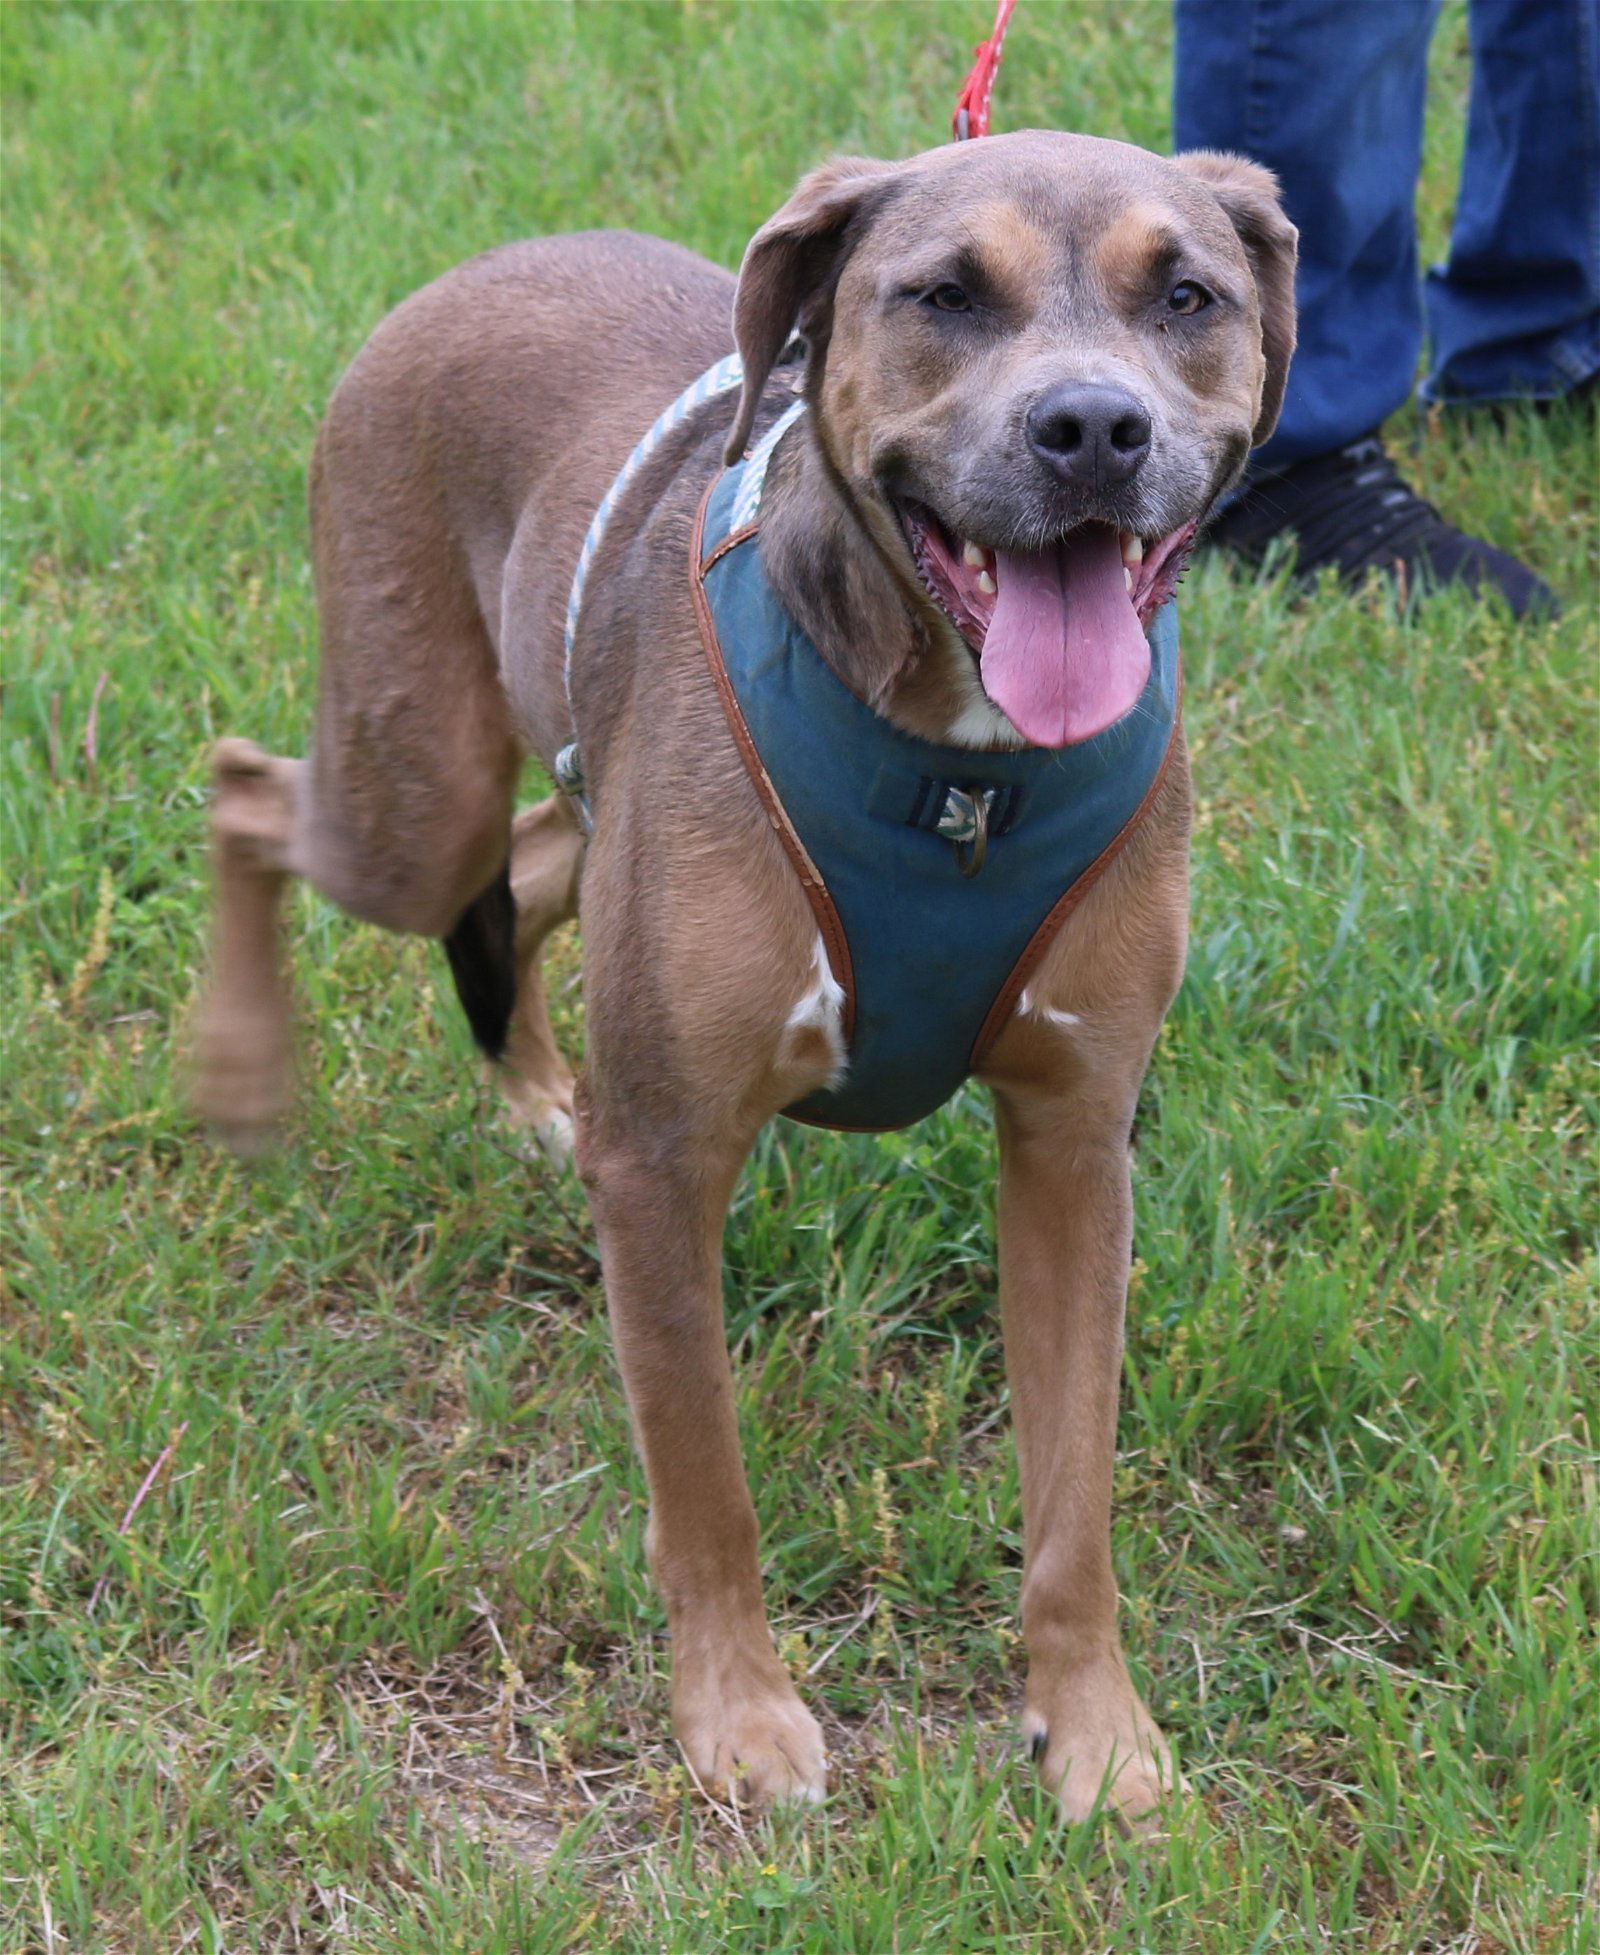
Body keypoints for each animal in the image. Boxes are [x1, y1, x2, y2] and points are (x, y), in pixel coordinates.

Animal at [196, 130, 1298, 1822]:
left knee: (520, 873)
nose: (1094, 429)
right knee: (252, 792)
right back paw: (249, 1068)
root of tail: (479, 266)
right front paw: (736, 1712)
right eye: (944, 294)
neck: (962, 777)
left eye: (1188, 295)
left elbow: (1075, 1500)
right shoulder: (663, 1159)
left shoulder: (1072, 1141)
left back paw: (532, 1088)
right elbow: (703, 1476)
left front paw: (1096, 1724)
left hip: (555, 803)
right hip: (411, 787)